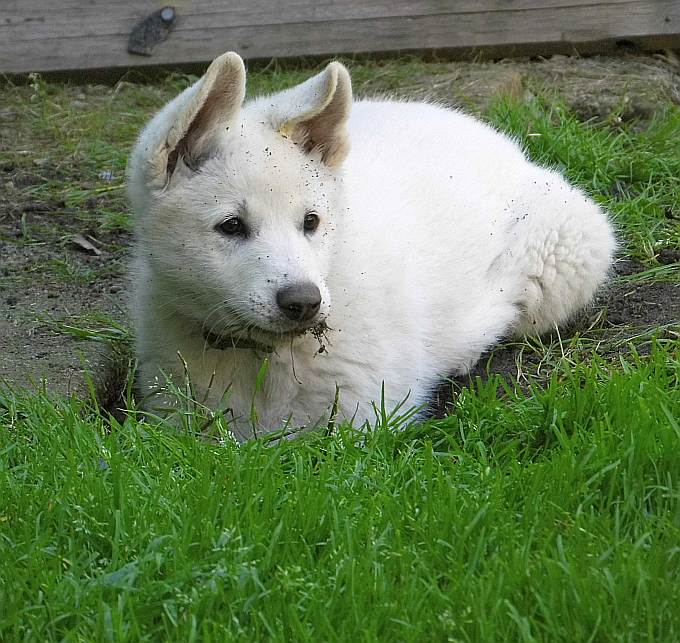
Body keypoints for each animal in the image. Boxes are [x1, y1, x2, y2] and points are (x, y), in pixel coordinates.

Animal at [127, 52, 616, 440]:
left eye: (311, 222)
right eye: (231, 226)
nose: (304, 303)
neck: (261, 357)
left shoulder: (367, 422)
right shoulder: (176, 414)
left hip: (563, 261)